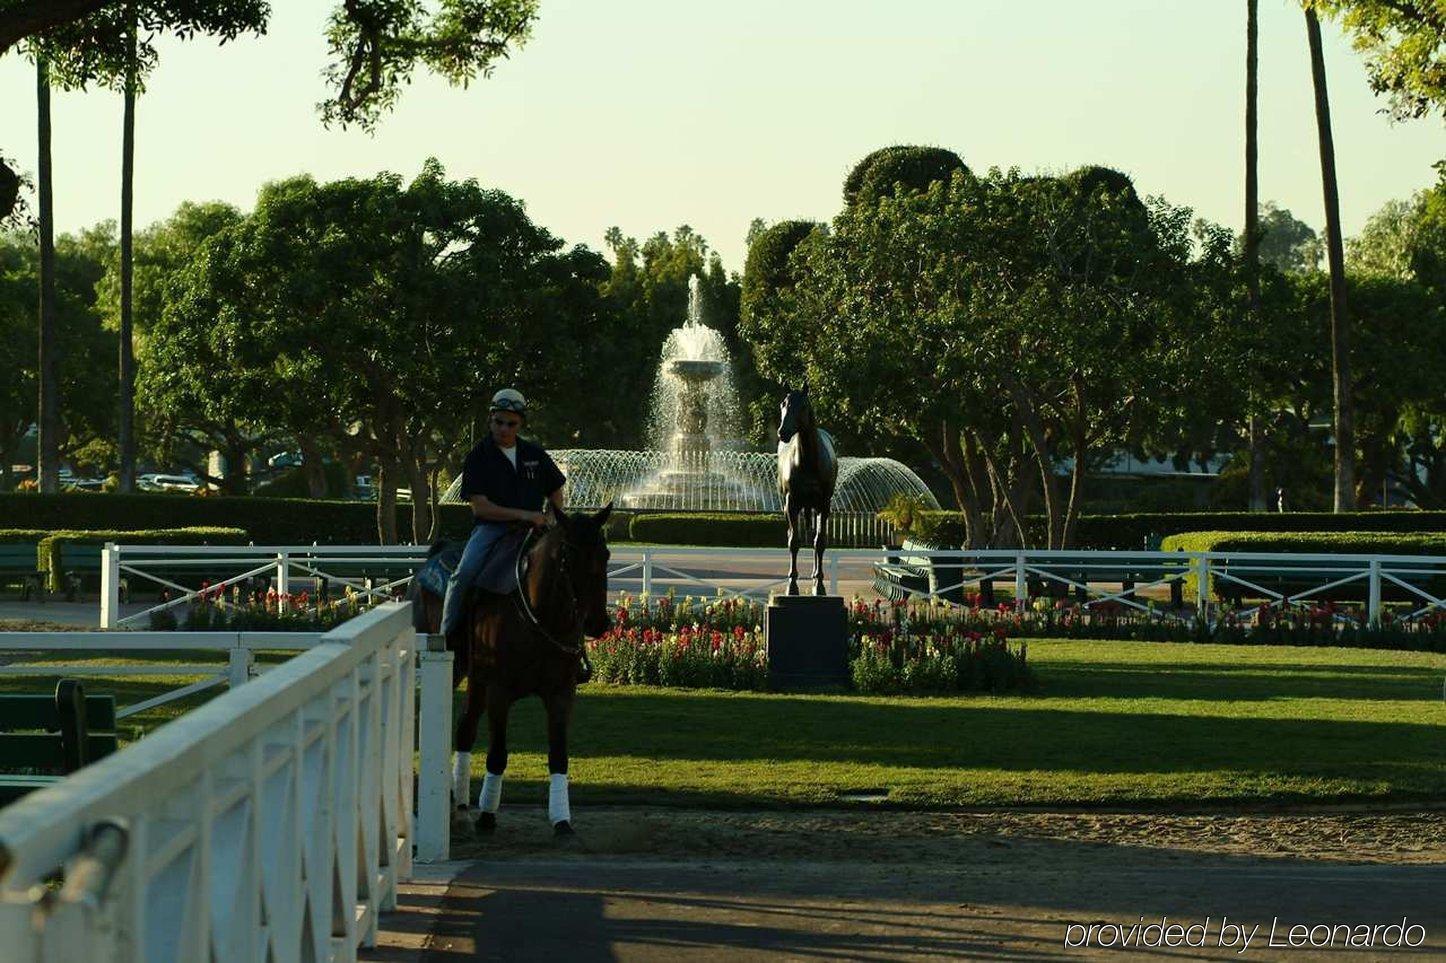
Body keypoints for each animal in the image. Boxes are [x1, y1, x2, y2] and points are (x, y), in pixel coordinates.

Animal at [410, 503, 613, 832]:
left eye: (605, 553)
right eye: (568, 556)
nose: (597, 622)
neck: (540, 614)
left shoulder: (561, 694)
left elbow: (559, 756)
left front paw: (562, 821)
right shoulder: (499, 693)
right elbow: (497, 755)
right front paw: (488, 815)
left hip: (476, 680)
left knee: (465, 729)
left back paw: (461, 804)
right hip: (449, 671)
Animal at [775, 384, 844, 592]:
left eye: (803, 405)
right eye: (783, 403)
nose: (782, 432)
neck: (808, 461)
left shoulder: (824, 504)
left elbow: (819, 542)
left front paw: (819, 581)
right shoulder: (791, 503)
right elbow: (793, 541)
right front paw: (792, 581)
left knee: (815, 538)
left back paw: (815, 574)